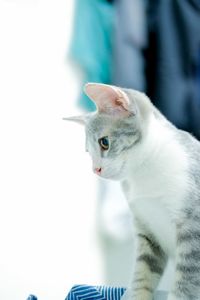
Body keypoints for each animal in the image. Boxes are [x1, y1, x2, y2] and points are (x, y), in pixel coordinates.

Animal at [64, 82, 200, 300]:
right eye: (88, 152)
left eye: (104, 142)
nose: (95, 169)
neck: (145, 172)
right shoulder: (146, 231)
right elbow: (142, 275)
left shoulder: (193, 228)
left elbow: (186, 282)